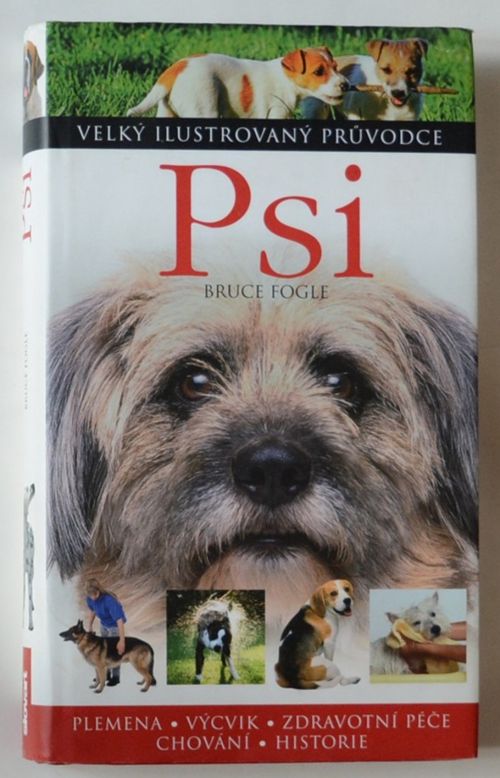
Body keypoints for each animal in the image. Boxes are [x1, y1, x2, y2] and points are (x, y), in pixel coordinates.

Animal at [126, 47, 349, 119]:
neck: (286, 77)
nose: (345, 85)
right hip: (204, 110)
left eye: (335, 67)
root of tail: (177, 67)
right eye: (319, 71)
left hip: (167, 112)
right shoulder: (277, 113)